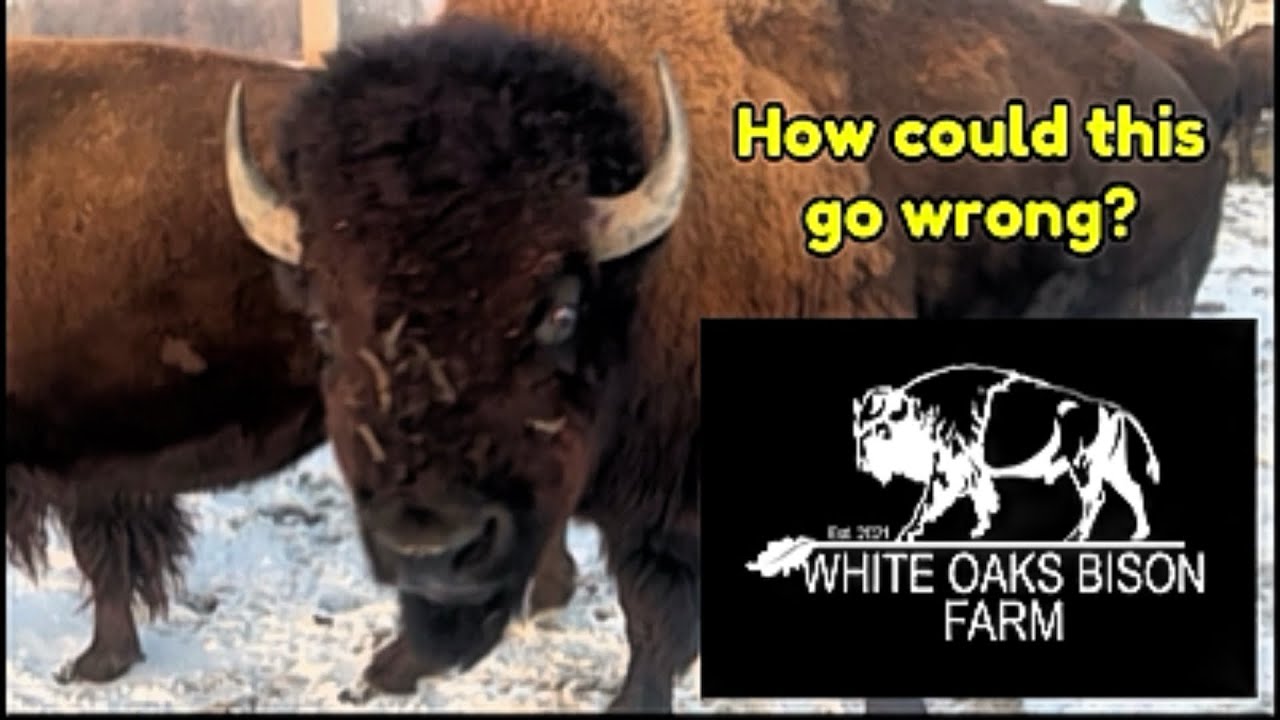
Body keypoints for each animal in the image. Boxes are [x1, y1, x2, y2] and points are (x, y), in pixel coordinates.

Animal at [223, 0, 1228, 710]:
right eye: (324, 324)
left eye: (558, 308)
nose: (431, 544)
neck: (653, 258)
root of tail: (1178, 87)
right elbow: (651, 624)